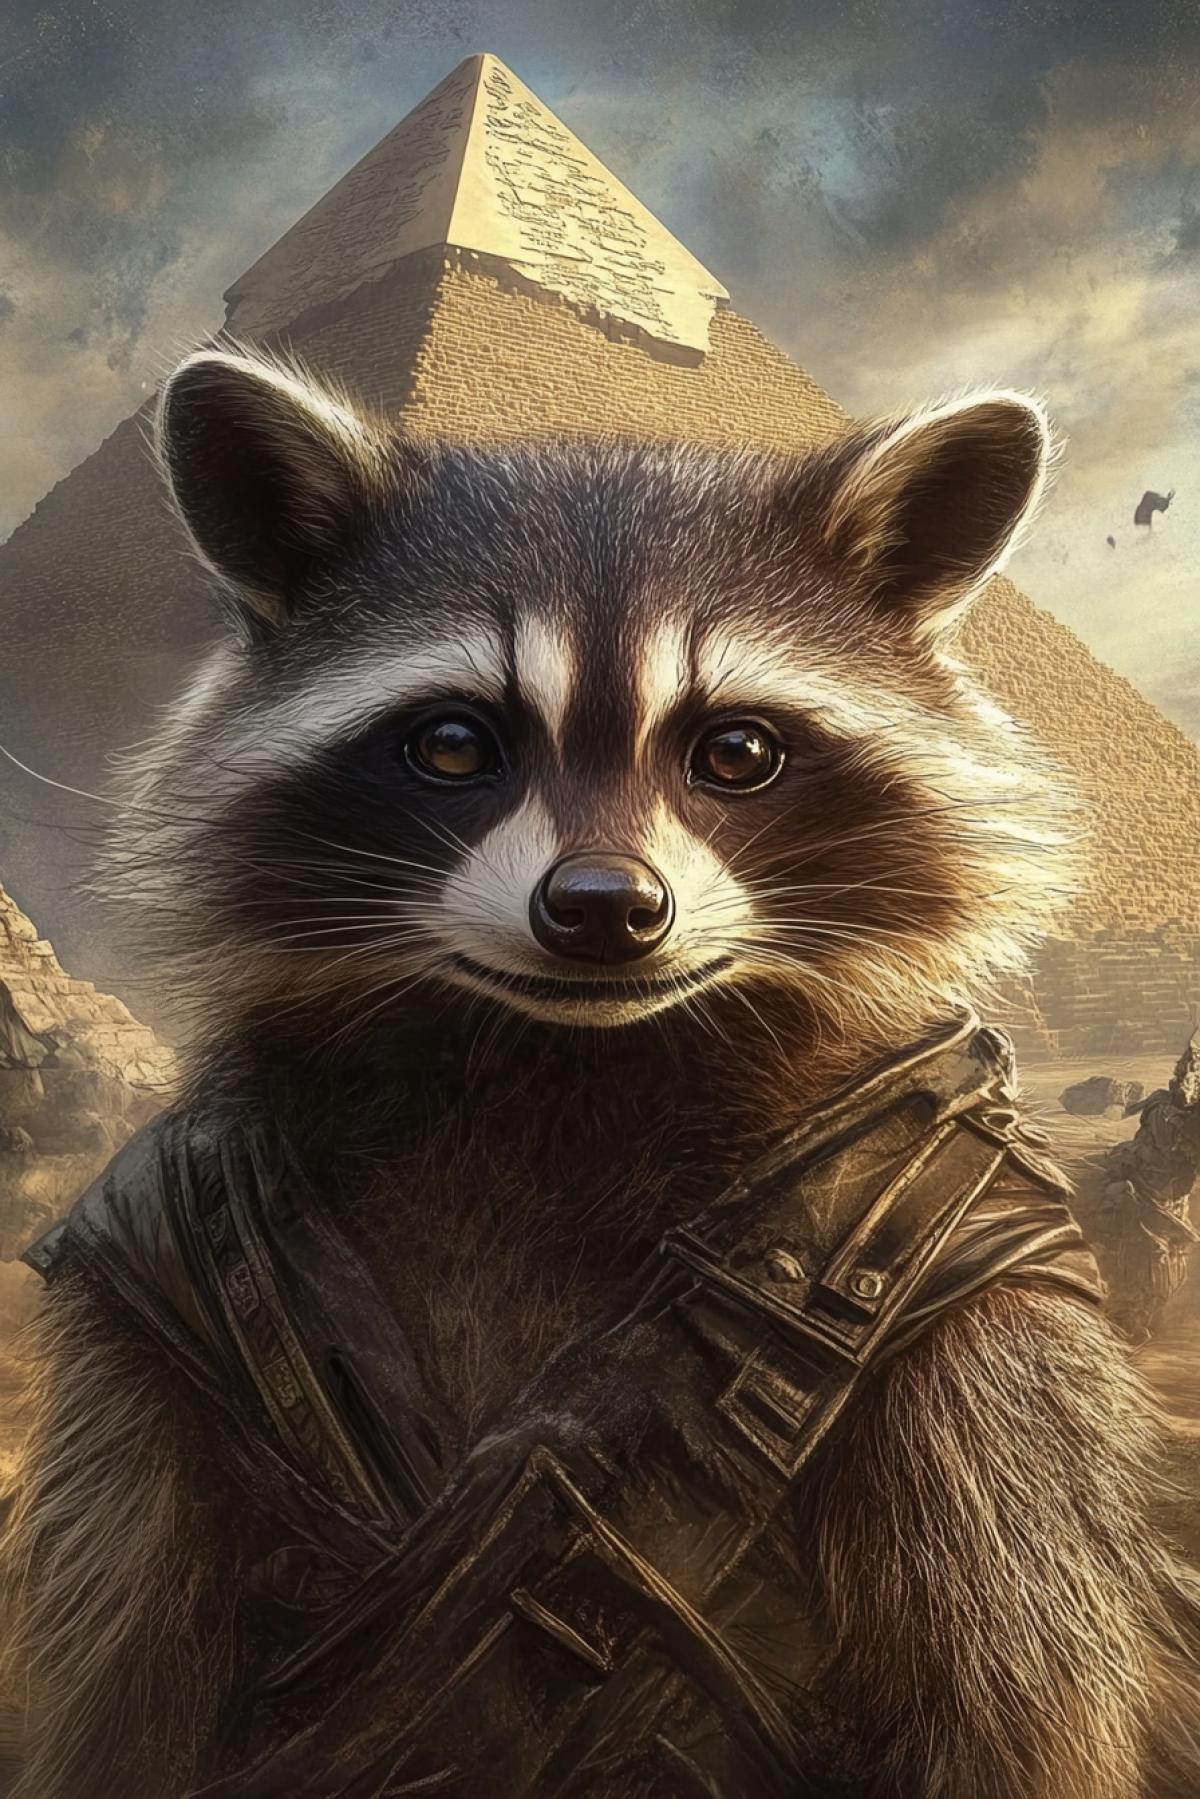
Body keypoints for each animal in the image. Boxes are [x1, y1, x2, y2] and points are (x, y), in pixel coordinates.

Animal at [2, 346, 1197, 1799]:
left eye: (737, 750)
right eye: (453, 742)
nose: (604, 908)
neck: (574, 1064)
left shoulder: (980, 1287)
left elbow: (1011, 1681)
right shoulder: (144, 1272)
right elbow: (121, 1652)